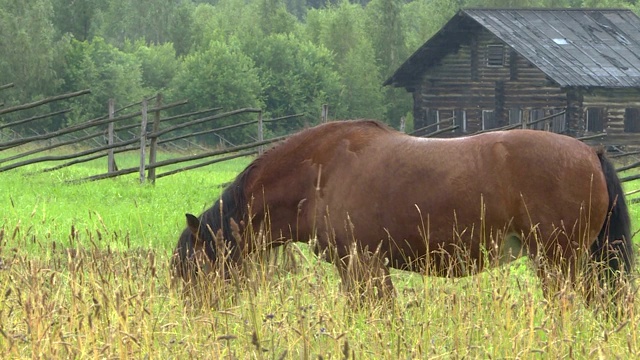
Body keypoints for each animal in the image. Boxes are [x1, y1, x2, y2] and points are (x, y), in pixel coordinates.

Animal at [171, 119, 636, 308]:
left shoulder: (362, 266)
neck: (317, 174)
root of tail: (590, 152)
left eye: (194, 267)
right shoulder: (365, 269)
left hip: (560, 263)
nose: (194, 316)